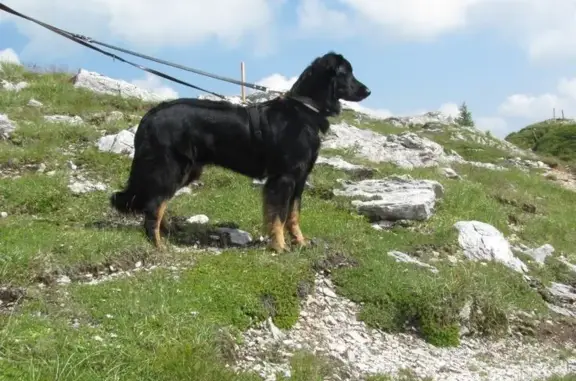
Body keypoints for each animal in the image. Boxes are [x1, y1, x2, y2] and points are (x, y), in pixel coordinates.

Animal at [110, 51, 372, 252]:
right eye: (346, 72)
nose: (368, 91)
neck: (304, 110)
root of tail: (150, 116)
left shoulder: (299, 179)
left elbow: (293, 215)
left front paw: (300, 242)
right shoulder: (283, 178)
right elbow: (278, 216)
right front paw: (280, 247)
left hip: (185, 171)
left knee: (157, 203)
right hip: (171, 169)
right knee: (153, 206)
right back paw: (158, 245)